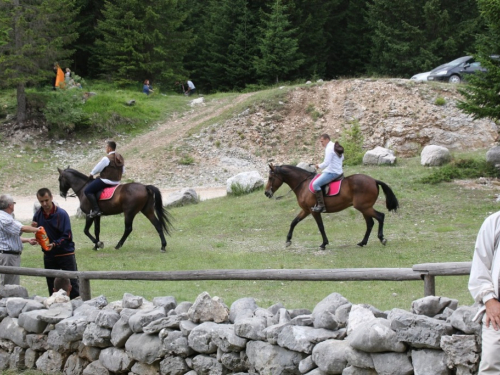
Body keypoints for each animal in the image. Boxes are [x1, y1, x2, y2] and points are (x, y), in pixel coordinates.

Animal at [264, 164, 400, 250]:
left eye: (270, 177)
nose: (266, 193)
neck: (303, 184)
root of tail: (373, 180)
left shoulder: (314, 211)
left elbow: (321, 227)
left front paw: (324, 244)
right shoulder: (306, 210)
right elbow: (294, 222)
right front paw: (288, 241)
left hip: (364, 207)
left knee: (380, 217)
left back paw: (381, 238)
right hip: (364, 208)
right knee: (370, 223)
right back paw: (362, 242)